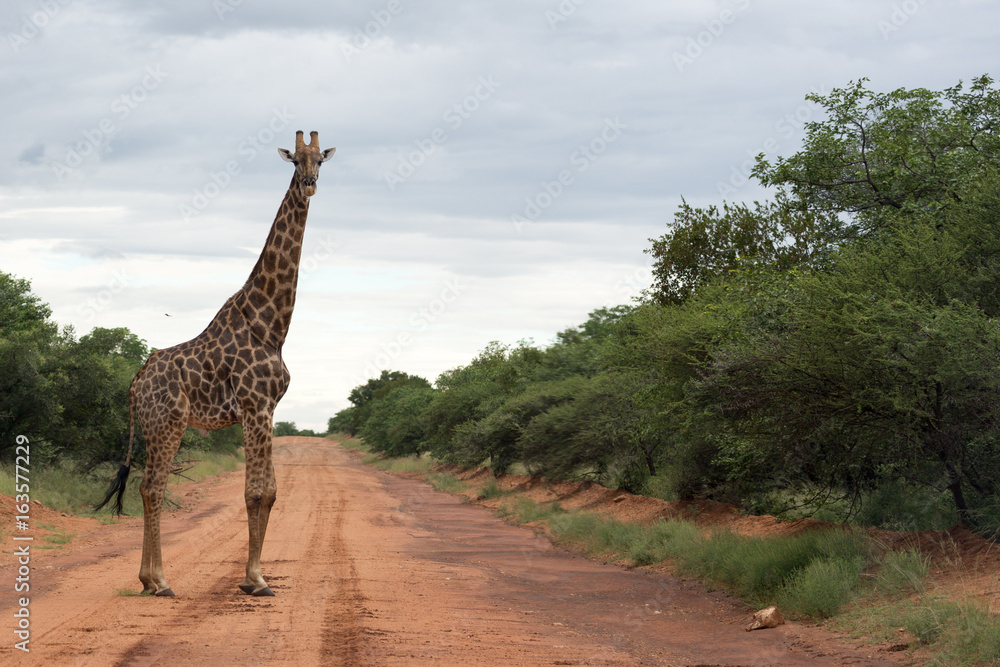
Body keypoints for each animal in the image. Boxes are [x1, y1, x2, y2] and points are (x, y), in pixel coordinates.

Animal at [96, 131, 336, 597]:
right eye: (294, 160)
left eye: (321, 160)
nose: (310, 183)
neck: (271, 325)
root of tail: (135, 382)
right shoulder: (255, 406)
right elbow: (255, 492)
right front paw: (255, 580)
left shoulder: (268, 409)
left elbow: (272, 491)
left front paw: (254, 576)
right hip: (167, 424)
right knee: (152, 487)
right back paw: (160, 581)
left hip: (154, 428)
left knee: (148, 487)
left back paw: (148, 580)